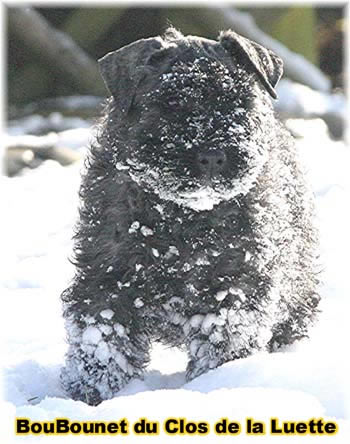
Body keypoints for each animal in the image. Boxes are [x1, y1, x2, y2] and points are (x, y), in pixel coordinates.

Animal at [60, 27, 320, 406]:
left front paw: (213, 387)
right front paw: (90, 393)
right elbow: (103, 340)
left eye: (239, 102)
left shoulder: (234, 290)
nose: (212, 155)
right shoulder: (107, 279)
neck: (182, 216)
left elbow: (222, 344)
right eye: (170, 105)